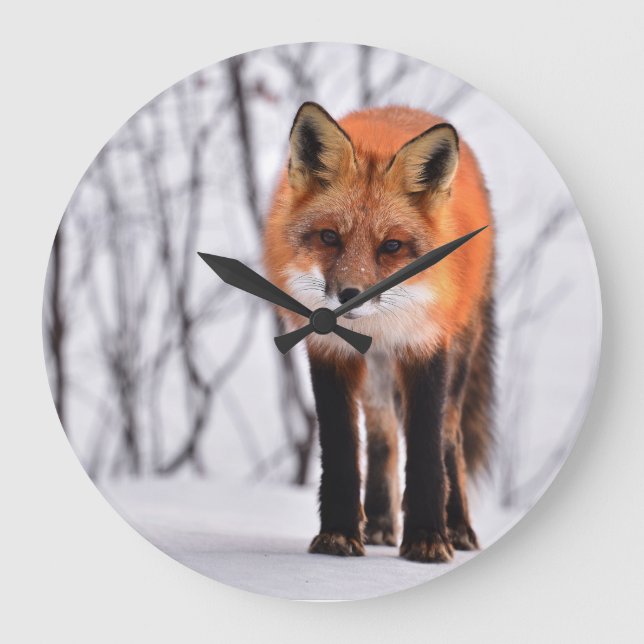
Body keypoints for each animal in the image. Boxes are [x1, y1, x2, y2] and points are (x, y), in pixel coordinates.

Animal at [263, 102, 495, 563]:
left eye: (391, 247)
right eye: (329, 237)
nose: (349, 297)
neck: (376, 326)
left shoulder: (425, 347)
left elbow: (426, 451)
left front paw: (427, 538)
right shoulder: (330, 351)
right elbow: (342, 449)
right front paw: (338, 533)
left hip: (458, 355)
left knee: (450, 438)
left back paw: (458, 528)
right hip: (376, 376)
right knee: (382, 435)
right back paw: (380, 523)